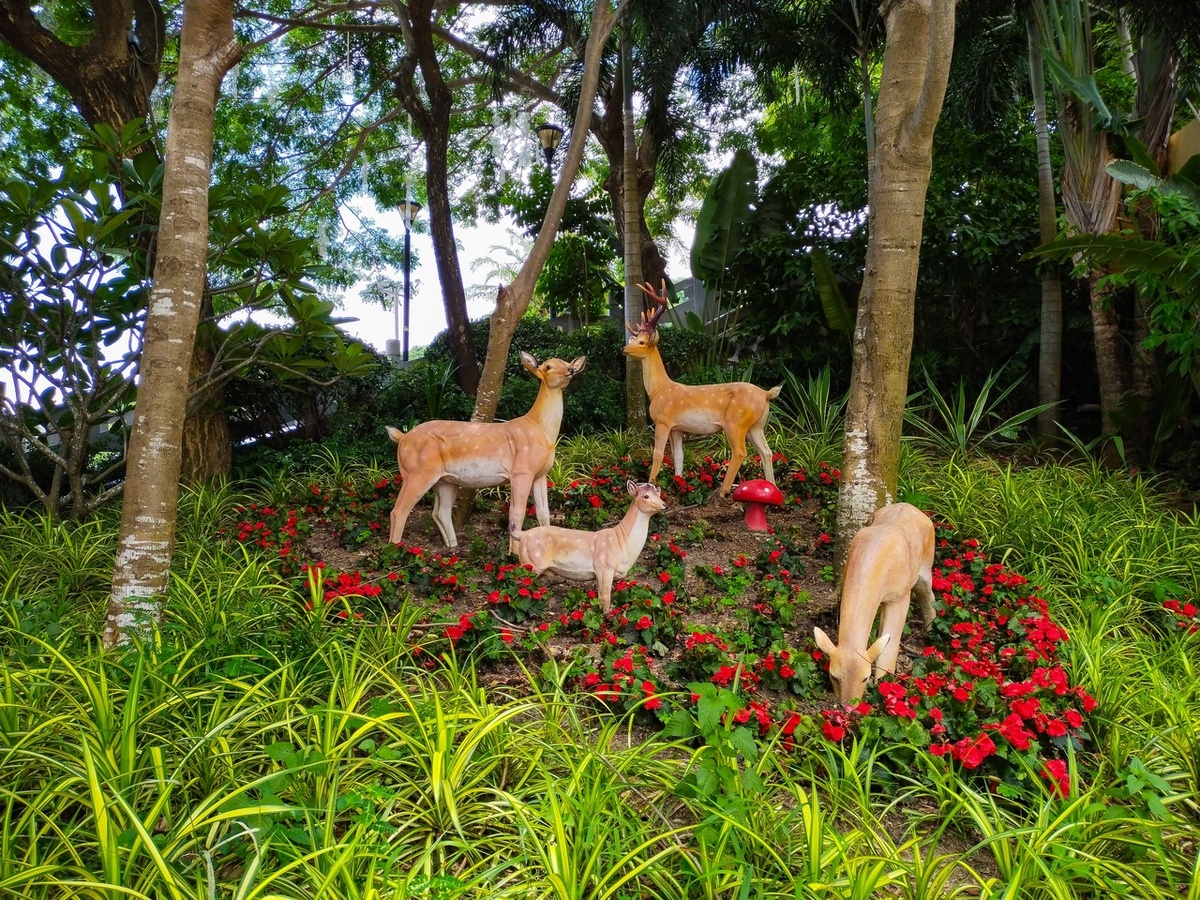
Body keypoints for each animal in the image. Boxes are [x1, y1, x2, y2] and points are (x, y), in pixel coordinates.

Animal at [385, 352, 586, 552]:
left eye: (566, 362)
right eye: (548, 366)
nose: (571, 370)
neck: (541, 429)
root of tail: (402, 438)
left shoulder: (540, 474)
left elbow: (544, 513)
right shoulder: (521, 471)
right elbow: (517, 513)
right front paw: (514, 555)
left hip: (444, 480)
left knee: (440, 512)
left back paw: (453, 547)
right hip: (417, 472)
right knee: (399, 510)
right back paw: (395, 549)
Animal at [509, 481, 666, 613]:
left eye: (659, 493)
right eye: (646, 496)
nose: (665, 505)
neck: (621, 542)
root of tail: (522, 535)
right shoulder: (603, 568)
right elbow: (604, 598)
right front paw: (606, 617)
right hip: (531, 562)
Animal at [625, 281, 782, 498]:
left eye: (641, 342)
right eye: (633, 340)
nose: (624, 349)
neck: (658, 390)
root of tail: (767, 394)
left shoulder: (662, 421)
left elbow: (657, 454)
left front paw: (651, 485)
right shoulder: (677, 428)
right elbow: (679, 456)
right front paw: (678, 483)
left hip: (735, 422)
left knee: (740, 451)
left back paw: (723, 490)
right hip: (756, 425)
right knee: (766, 452)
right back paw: (772, 488)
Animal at [813, 502, 937, 707]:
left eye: (865, 678)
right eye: (834, 676)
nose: (848, 707)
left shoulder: (900, 596)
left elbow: (889, 651)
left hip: (926, 566)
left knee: (927, 593)